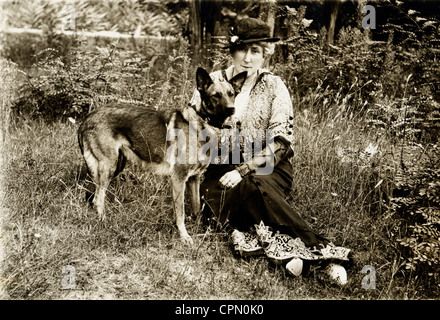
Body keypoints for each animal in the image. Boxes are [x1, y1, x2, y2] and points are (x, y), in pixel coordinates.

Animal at [78, 66, 248, 244]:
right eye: (216, 95)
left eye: (231, 94)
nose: (231, 109)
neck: (202, 123)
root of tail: (87, 118)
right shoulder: (178, 178)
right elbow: (180, 212)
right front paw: (184, 236)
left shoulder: (194, 179)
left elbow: (196, 209)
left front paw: (198, 230)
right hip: (109, 166)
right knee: (98, 199)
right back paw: (104, 222)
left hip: (116, 165)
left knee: (95, 195)